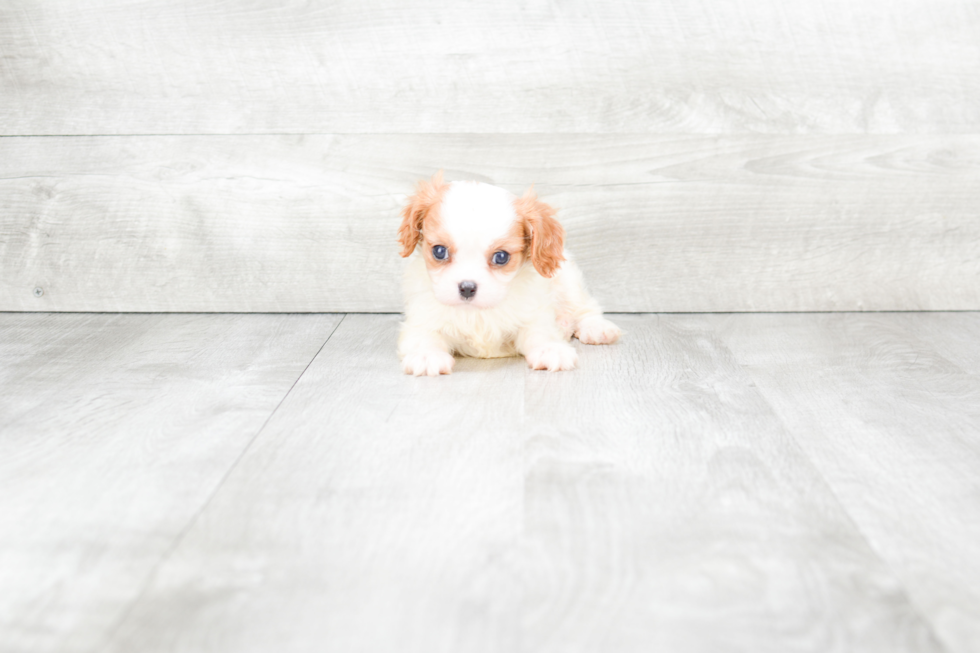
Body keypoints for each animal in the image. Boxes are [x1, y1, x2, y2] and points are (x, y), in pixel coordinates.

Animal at [398, 172, 620, 376]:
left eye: (501, 257)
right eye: (439, 251)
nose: (467, 288)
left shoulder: (534, 311)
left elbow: (540, 330)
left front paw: (550, 348)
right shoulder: (422, 317)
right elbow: (424, 335)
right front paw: (426, 354)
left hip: (568, 281)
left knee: (584, 307)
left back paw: (596, 328)